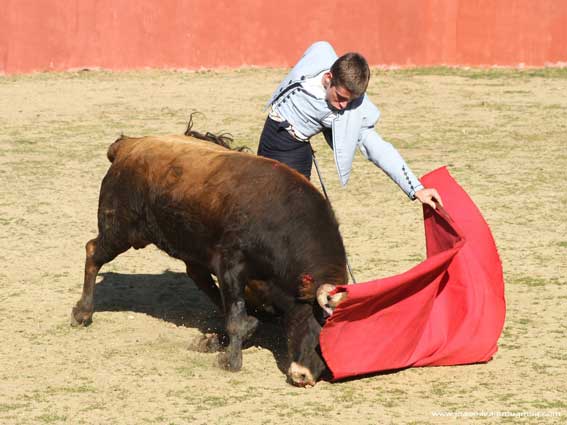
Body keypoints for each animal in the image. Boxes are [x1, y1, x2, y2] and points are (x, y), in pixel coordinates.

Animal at [69, 132, 348, 384]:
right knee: (93, 252)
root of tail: (128, 145)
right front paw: (230, 360)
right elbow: (235, 318)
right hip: (120, 230)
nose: (304, 376)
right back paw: (82, 313)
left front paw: (218, 340)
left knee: (199, 277)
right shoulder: (231, 266)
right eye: (322, 326)